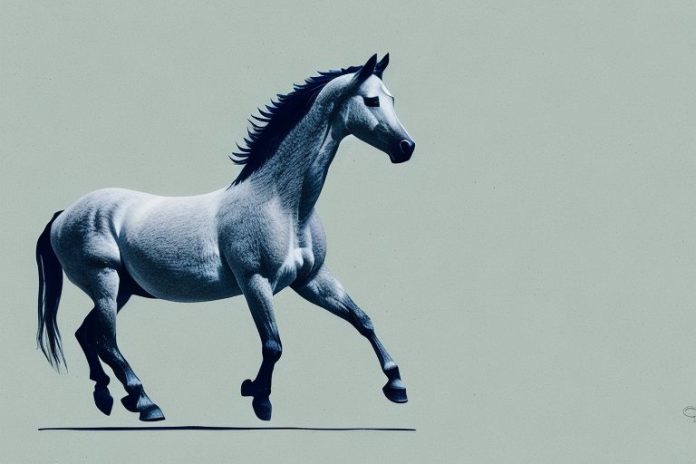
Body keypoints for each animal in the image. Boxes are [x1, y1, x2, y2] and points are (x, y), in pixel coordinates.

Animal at [36, 53, 415, 422]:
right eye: (371, 100)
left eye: (393, 98)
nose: (406, 147)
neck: (282, 205)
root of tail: (62, 215)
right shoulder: (255, 281)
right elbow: (273, 344)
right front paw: (259, 398)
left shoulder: (311, 279)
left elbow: (362, 320)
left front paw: (396, 384)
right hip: (104, 282)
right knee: (106, 342)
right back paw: (144, 402)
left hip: (122, 290)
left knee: (86, 334)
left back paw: (108, 396)